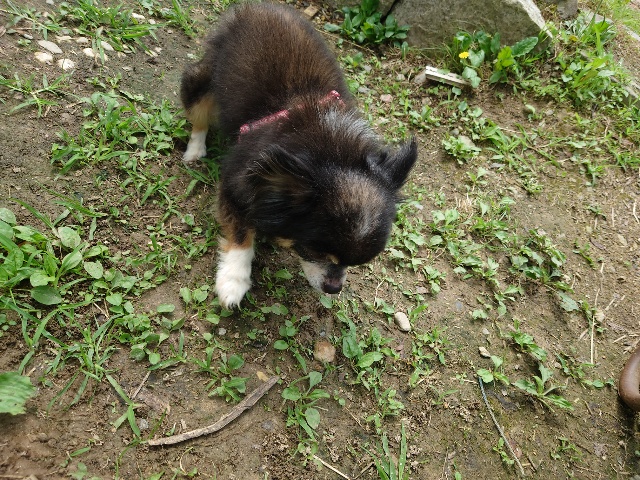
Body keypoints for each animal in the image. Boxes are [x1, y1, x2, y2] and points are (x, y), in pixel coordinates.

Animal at [180, 2, 417, 308]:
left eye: (353, 264)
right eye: (313, 250)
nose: (334, 288)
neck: (332, 153)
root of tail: (253, 8)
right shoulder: (236, 183)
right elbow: (242, 234)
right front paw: (233, 281)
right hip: (201, 81)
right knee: (199, 116)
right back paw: (196, 150)